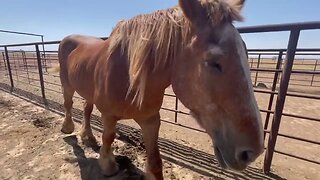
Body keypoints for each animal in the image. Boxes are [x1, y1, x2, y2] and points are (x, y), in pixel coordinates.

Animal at [56, 0, 264, 179]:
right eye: (214, 62)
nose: (251, 152)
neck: (128, 75)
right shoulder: (108, 115)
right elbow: (109, 136)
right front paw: (108, 165)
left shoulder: (150, 120)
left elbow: (155, 161)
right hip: (67, 84)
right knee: (68, 103)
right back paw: (68, 128)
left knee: (86, 109)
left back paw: (88, 136)